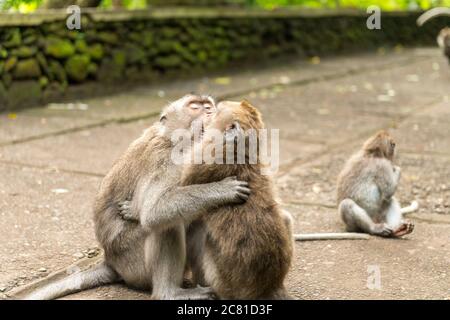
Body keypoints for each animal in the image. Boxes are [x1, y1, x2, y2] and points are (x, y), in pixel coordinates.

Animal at [24, 94, 251, 300]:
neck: (173, 140)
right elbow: (154, 211)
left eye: (208, 105)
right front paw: (223, 189)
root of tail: (111, 262)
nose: (212, 112)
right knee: (166, 227)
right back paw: (169, 293)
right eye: (196, 107)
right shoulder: (166, 160)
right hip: (134, 263)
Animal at [178, 100, 294, 300]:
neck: (240, 152)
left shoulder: (203, 157)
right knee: (286, 218)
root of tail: (268, 287)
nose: (215, 106)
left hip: (223, 279)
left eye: (219, 110)